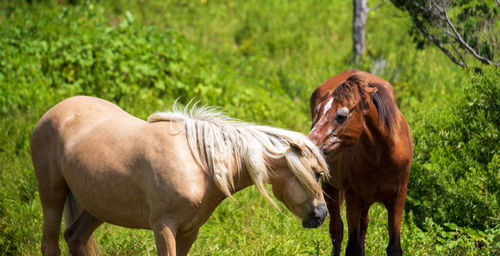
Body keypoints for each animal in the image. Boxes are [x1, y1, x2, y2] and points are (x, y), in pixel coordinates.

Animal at [30, 96, 328, 256]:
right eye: (316, 174)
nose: (322, 214)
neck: (199, 165)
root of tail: (55, 111)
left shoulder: (189, 232)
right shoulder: (164, 228)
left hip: (97, 207)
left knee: (74, 238)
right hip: (52, 197)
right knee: (50, 244)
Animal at [310, 70, 412, 256]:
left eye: (341, 116)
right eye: (318, 111)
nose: (310, 143)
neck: (382, 158)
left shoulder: (398, 197)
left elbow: (393, 247)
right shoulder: (353, 198)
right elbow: (351, 246)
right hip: (331, 187)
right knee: (336, 231)